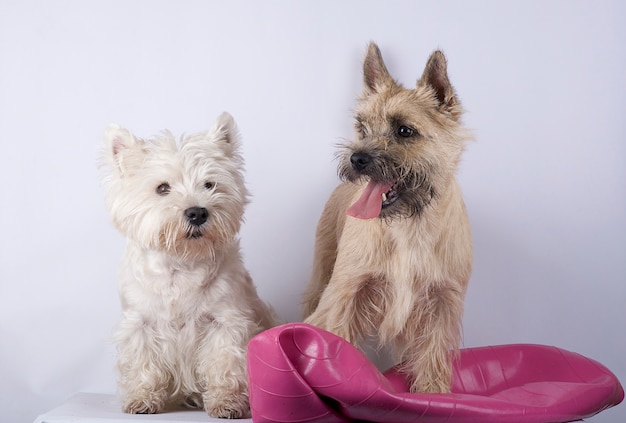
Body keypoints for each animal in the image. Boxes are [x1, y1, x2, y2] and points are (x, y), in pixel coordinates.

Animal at [100, 111, 276, 420]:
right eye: (162, 188)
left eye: (209, 184)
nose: (197, 213)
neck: (180, 263)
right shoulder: (140, 323)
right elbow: (142, 362)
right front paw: (142, 399)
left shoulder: (225, 321)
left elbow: (225, 364)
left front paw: (226, 403)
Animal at [302, 43, 468, 394]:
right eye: (362, 128)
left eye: (404, 130)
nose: (356, 158)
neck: (408, 225)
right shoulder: (346, 292)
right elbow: (335, 337)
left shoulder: (441, 301)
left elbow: (432, 352)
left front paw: (433, 393)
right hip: (322, 274)